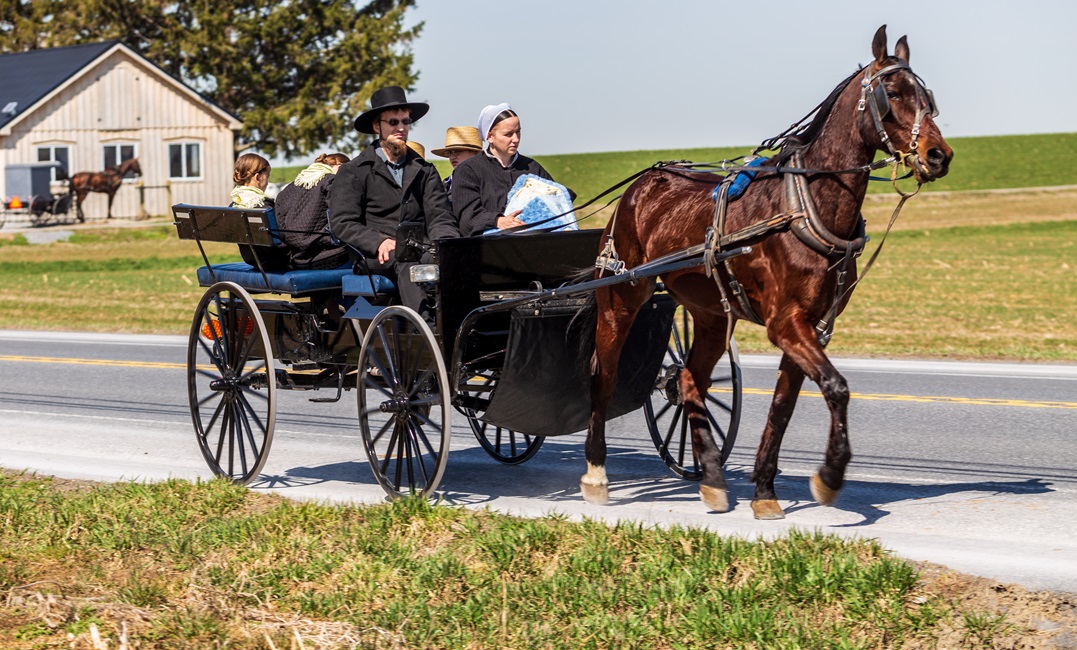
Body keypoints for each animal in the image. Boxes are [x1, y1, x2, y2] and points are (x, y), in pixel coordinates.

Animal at [581, 24, 952, 518]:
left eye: (927, 96)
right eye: (891, 93)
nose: (939, 155)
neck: (804, 206)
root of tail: (639, 186)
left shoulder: (813, 325)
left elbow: (784, 406)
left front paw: (764, 489)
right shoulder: (785, 322)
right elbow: (836, 387)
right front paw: (830, 476)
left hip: (711, 313)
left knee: (688, 378)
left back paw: (712, 475)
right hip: (620, 296)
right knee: (603, 375)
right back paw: (596, 472)